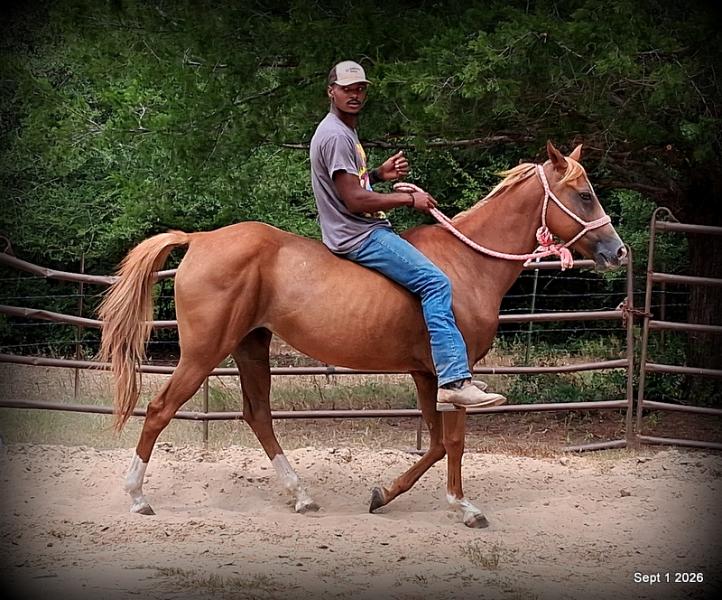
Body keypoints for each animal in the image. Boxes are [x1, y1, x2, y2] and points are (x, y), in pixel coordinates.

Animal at [99, 141, 626, 528]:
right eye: (584, 195)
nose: (617, 251)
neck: (467, 264)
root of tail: (200, 239)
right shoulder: (455, 376)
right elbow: (454, 442)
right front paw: (464, 507)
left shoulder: (426, 375)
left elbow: (437, 443)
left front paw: (383, 494)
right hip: (204, 353)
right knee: (160, 410)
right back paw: (137, 497)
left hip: (251, 346)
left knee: (258, 415)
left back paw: (302, 496)